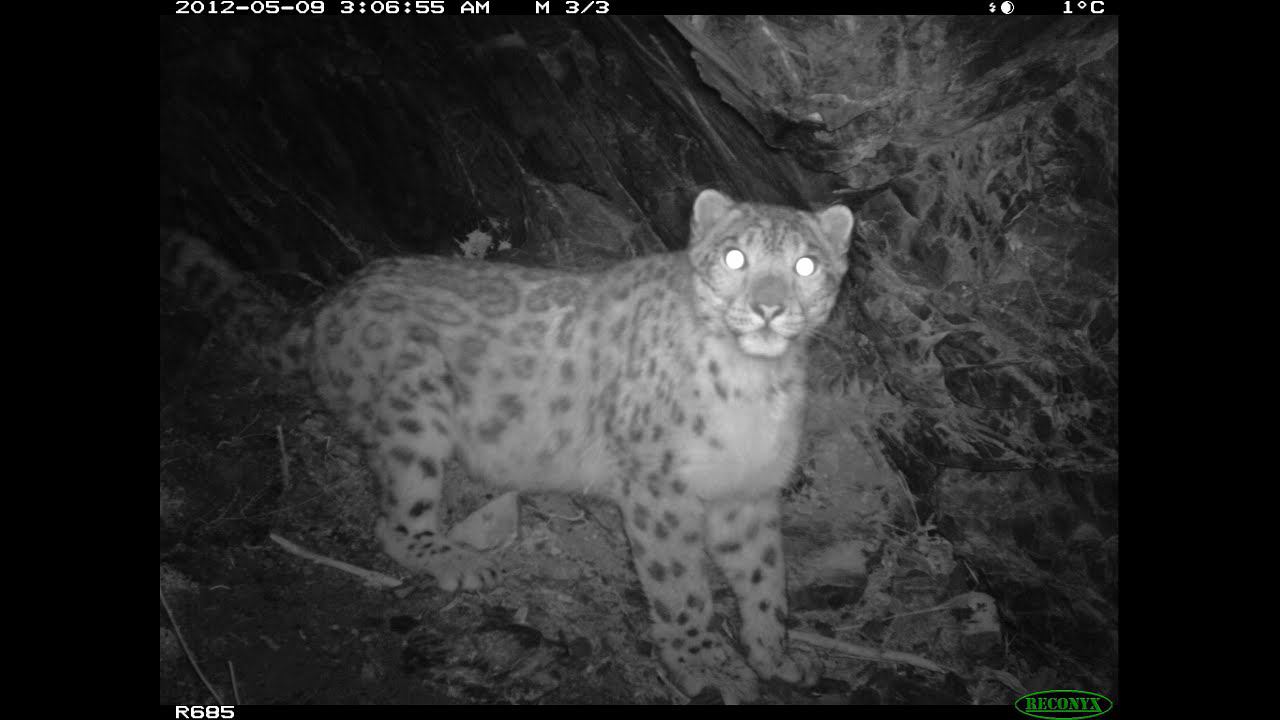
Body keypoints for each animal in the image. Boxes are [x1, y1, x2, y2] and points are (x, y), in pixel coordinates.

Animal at [160, 189, 854, 703]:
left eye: (806, 265)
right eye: (735, 259)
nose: (769, 309)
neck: (755, 386)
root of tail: (333, 298)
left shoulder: (750, 493)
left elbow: (765, 578)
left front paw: (777, 656)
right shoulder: (660, 489)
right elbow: (682, 584)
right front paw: (707, 665)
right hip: (415, 401)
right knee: (394, 518)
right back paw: (460, 560)